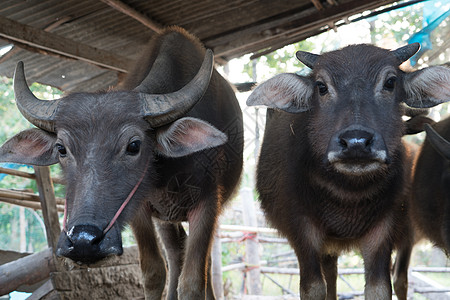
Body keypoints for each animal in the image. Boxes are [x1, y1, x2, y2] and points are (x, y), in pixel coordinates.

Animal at [246, 42, 450, 300]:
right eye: (321, 87)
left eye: (390, 82)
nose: (356, 142)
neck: (347, 197)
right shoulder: (301, 230)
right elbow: (313, 288)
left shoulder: (385, 229)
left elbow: (380, 288)